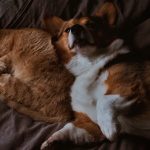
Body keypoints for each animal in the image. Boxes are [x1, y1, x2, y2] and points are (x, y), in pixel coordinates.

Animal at [41, 1, 150, 149]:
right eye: (67, 30)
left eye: (91, 24)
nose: (76, 28)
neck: (89, 65)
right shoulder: (90, 125)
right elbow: (69, 128)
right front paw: (52, 140)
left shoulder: (131, 87)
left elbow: (103, 100)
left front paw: (109, 127)